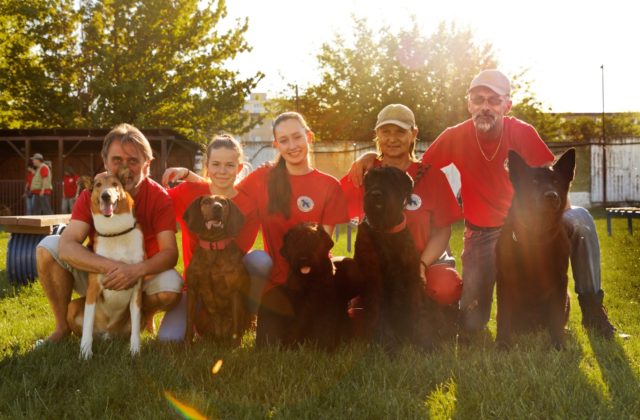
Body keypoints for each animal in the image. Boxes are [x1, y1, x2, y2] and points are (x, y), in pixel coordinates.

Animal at [69, 171, 146, 360]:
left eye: (115, 184)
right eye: (98, 185)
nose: (106, 195)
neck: (115, 232)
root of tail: (107, 333)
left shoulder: (137, 289)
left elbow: (135, 331)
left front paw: (135, 351)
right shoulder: (93, 289)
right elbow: (87, 326)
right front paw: (85, 352)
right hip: (72, 307)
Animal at [182, 195, 250, 342]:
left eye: (224, 202)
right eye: (206, 201)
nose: (218, 207)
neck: (213, 245)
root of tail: (220, 333)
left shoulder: (235, 292)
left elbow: (236, 324)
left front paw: (236, 346)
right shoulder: (192, 290)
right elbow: (189, 320)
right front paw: (187, 344)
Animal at [256, 223, 352, 352]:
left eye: (312, 240)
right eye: (294, 241)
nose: (303, 258)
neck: (308, 281)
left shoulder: (324, 306)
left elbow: (325, 327)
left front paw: (323, 348)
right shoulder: (297, 307)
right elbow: (295, 326)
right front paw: (291, 347)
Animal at [352, 166, 432, 350]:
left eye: (392, 179)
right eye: (370, 179)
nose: (376, 194)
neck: (386, 231)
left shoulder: (411, 277)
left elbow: (417, 309)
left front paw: (422, 340)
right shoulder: (375, 279)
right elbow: (380, 312)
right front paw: (387, 343)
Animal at [496, 149, 576, 350]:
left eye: (556, 181)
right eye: (533, 182)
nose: (551, 196)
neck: (536, 238)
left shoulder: (560, 281)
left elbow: (556, 316)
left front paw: (558, 344)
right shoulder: (504, 279)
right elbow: (503, 315)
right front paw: (502, 344)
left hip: (568, 297)